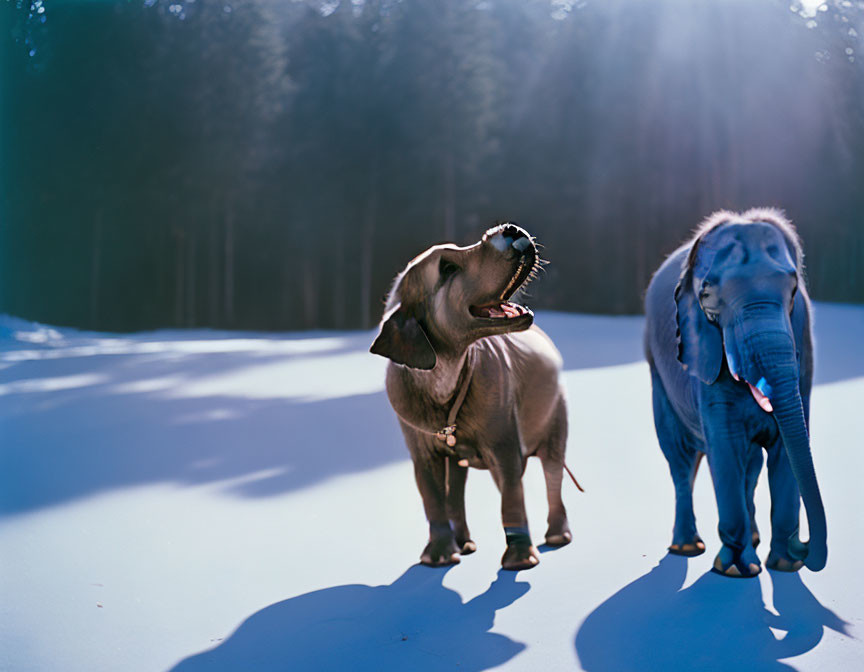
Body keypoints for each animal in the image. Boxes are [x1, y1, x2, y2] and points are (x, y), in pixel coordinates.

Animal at [644, 210, 828, 576]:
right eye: (708, 297)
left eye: (792, 290)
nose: (803, 545)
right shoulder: (702, 349)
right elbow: (726, 447)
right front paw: (736, 570)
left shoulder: (802, 341)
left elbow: (784, 448)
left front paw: (785, 565)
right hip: (658, 374)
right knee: (680, 459)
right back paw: (687, 548)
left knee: (751, 465)